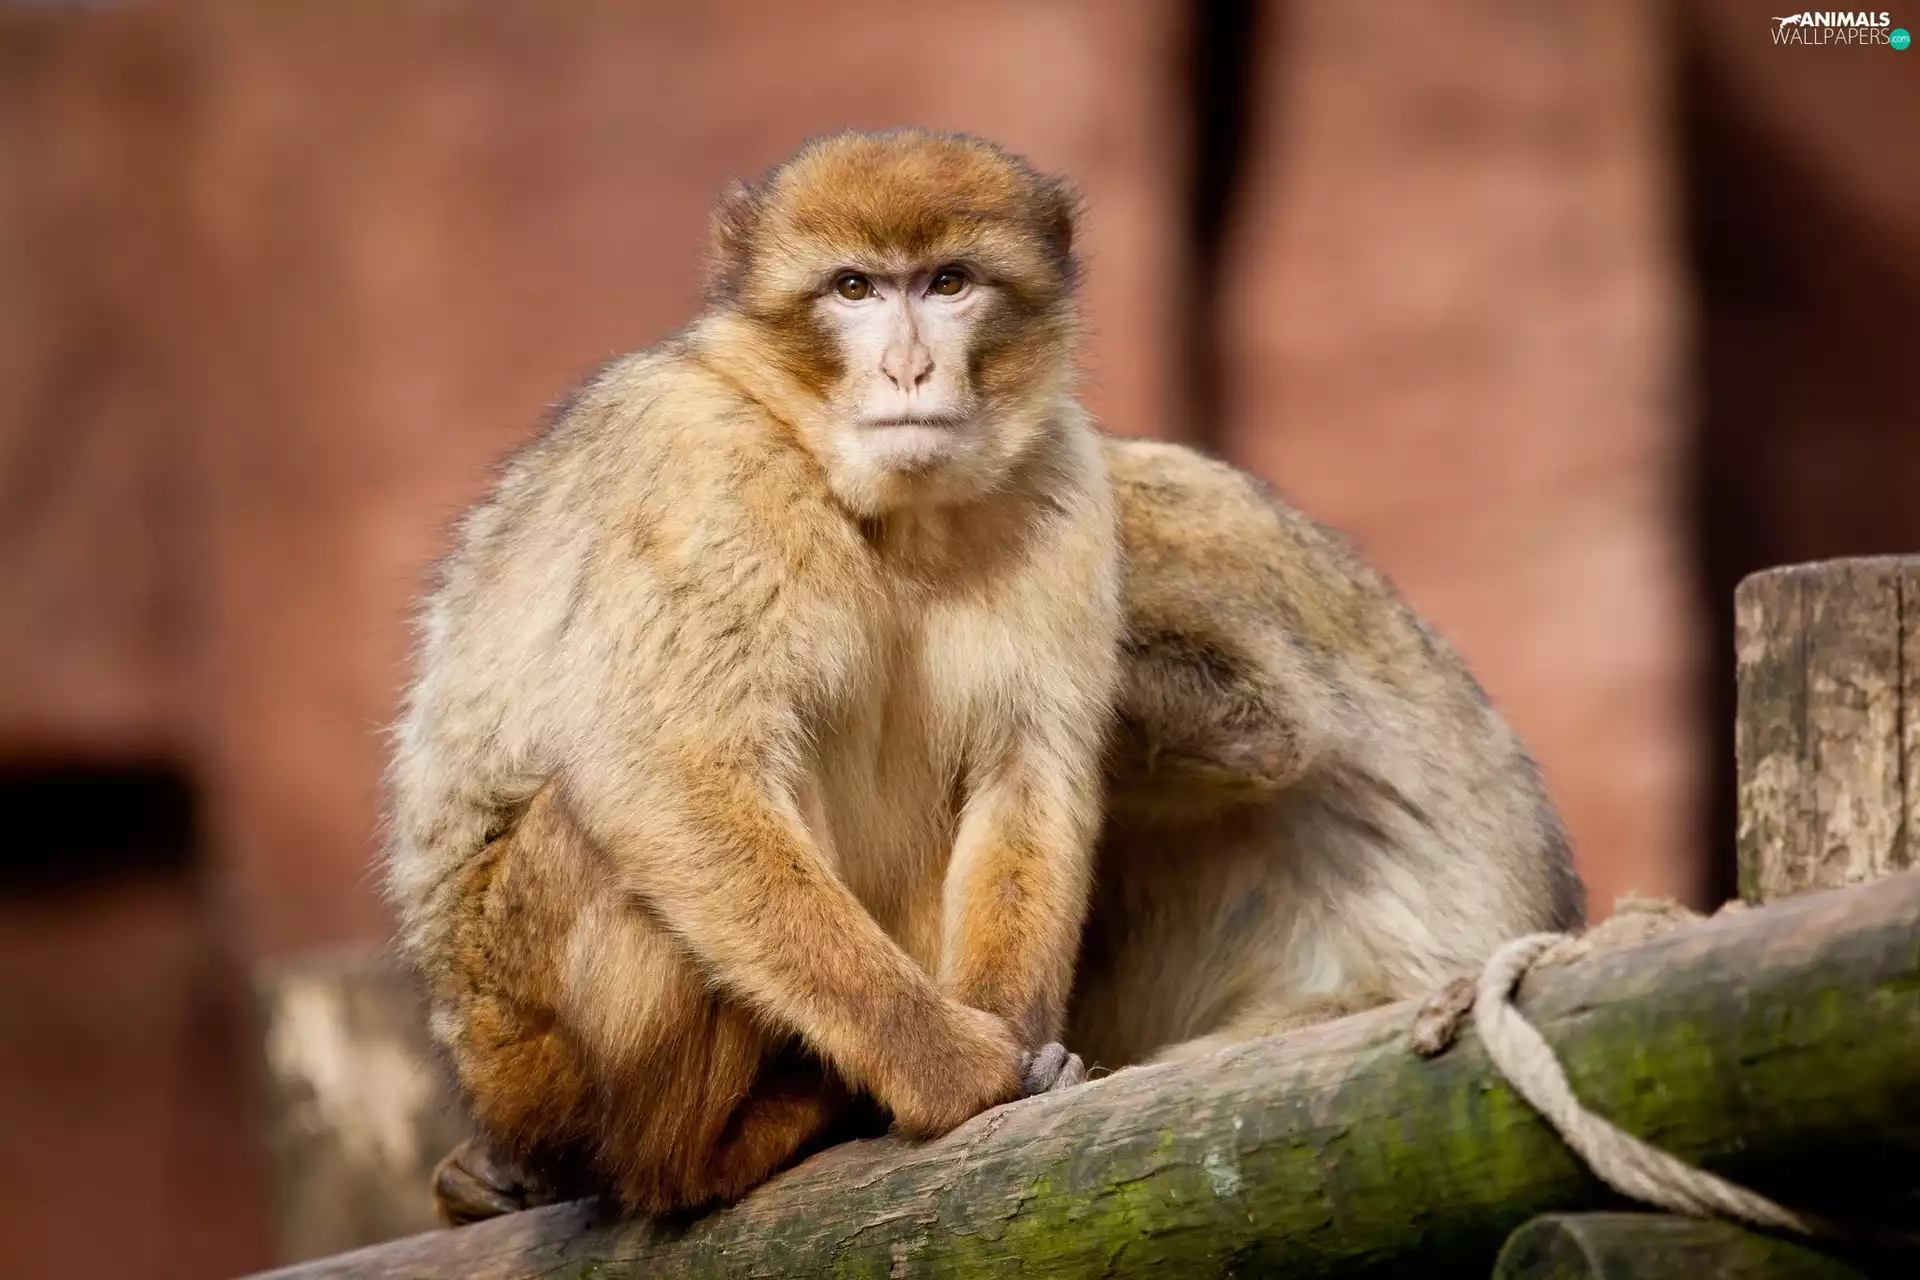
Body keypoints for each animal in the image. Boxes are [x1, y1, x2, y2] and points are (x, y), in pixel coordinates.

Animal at [384, 129, 1122, 1220]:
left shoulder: (1062, 478)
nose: (909, 366)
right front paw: (948, 1066)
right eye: (855, 288)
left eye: (948, 283)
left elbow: (1025, 768)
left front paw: (1025, 1052)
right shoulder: (703, 468)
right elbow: (669, 771)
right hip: (524, 1040)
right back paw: (706, 1152)